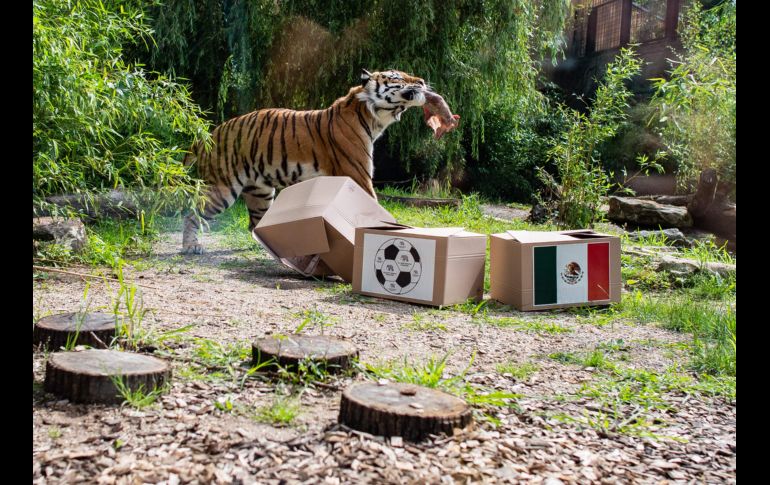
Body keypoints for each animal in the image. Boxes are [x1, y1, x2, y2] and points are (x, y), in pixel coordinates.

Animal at [181, 69, 429, 254]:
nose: (423, 81)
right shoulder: (359, 176)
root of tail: (208, 134)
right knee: (192, 213)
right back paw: (191, 246)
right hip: (222, 187)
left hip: (260, 192)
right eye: (397, 77)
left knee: (255, 223)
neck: (371, 116)